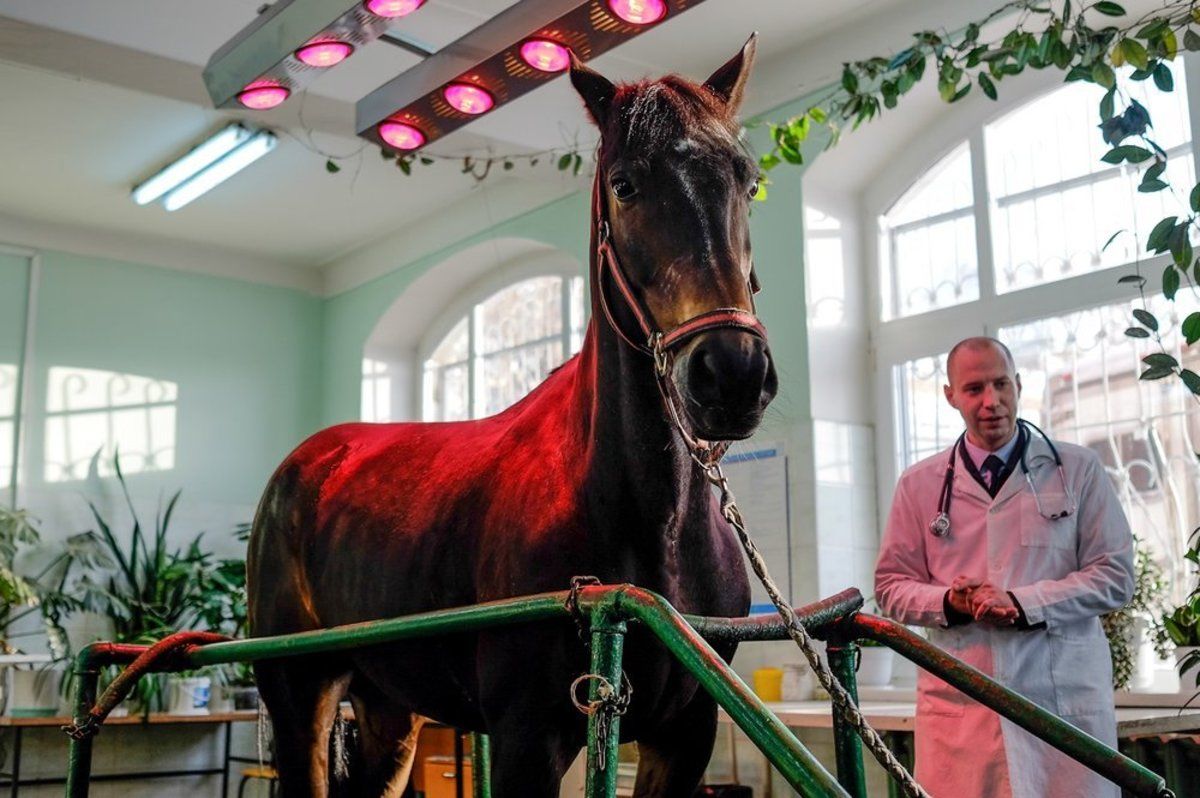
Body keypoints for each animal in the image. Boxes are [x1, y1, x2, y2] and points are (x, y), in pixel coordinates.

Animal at [250, 35, 777, 796]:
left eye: (749, 180)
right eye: (625, 185)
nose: (732, 372)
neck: (653, 528)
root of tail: (302, 464)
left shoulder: (686, 737)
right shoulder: (527, 737)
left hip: (391, 711)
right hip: (299, 697)